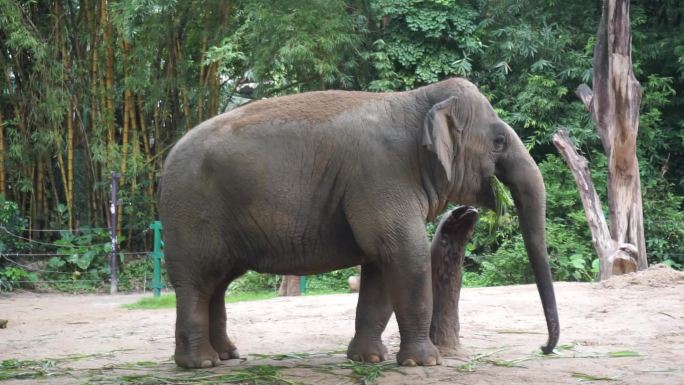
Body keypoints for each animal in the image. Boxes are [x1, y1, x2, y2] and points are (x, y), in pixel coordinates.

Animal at [160, 76, 560, 368]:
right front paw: (424, 363)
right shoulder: (382, 176)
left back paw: (227, 355)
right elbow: (406, 254)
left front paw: (368, 359)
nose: (543, 348)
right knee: (197, 282)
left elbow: (381, 266)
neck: (418, 99)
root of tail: (166, 159)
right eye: (498, 141)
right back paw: (201, 364)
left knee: (219, 282)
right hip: (192, 213)